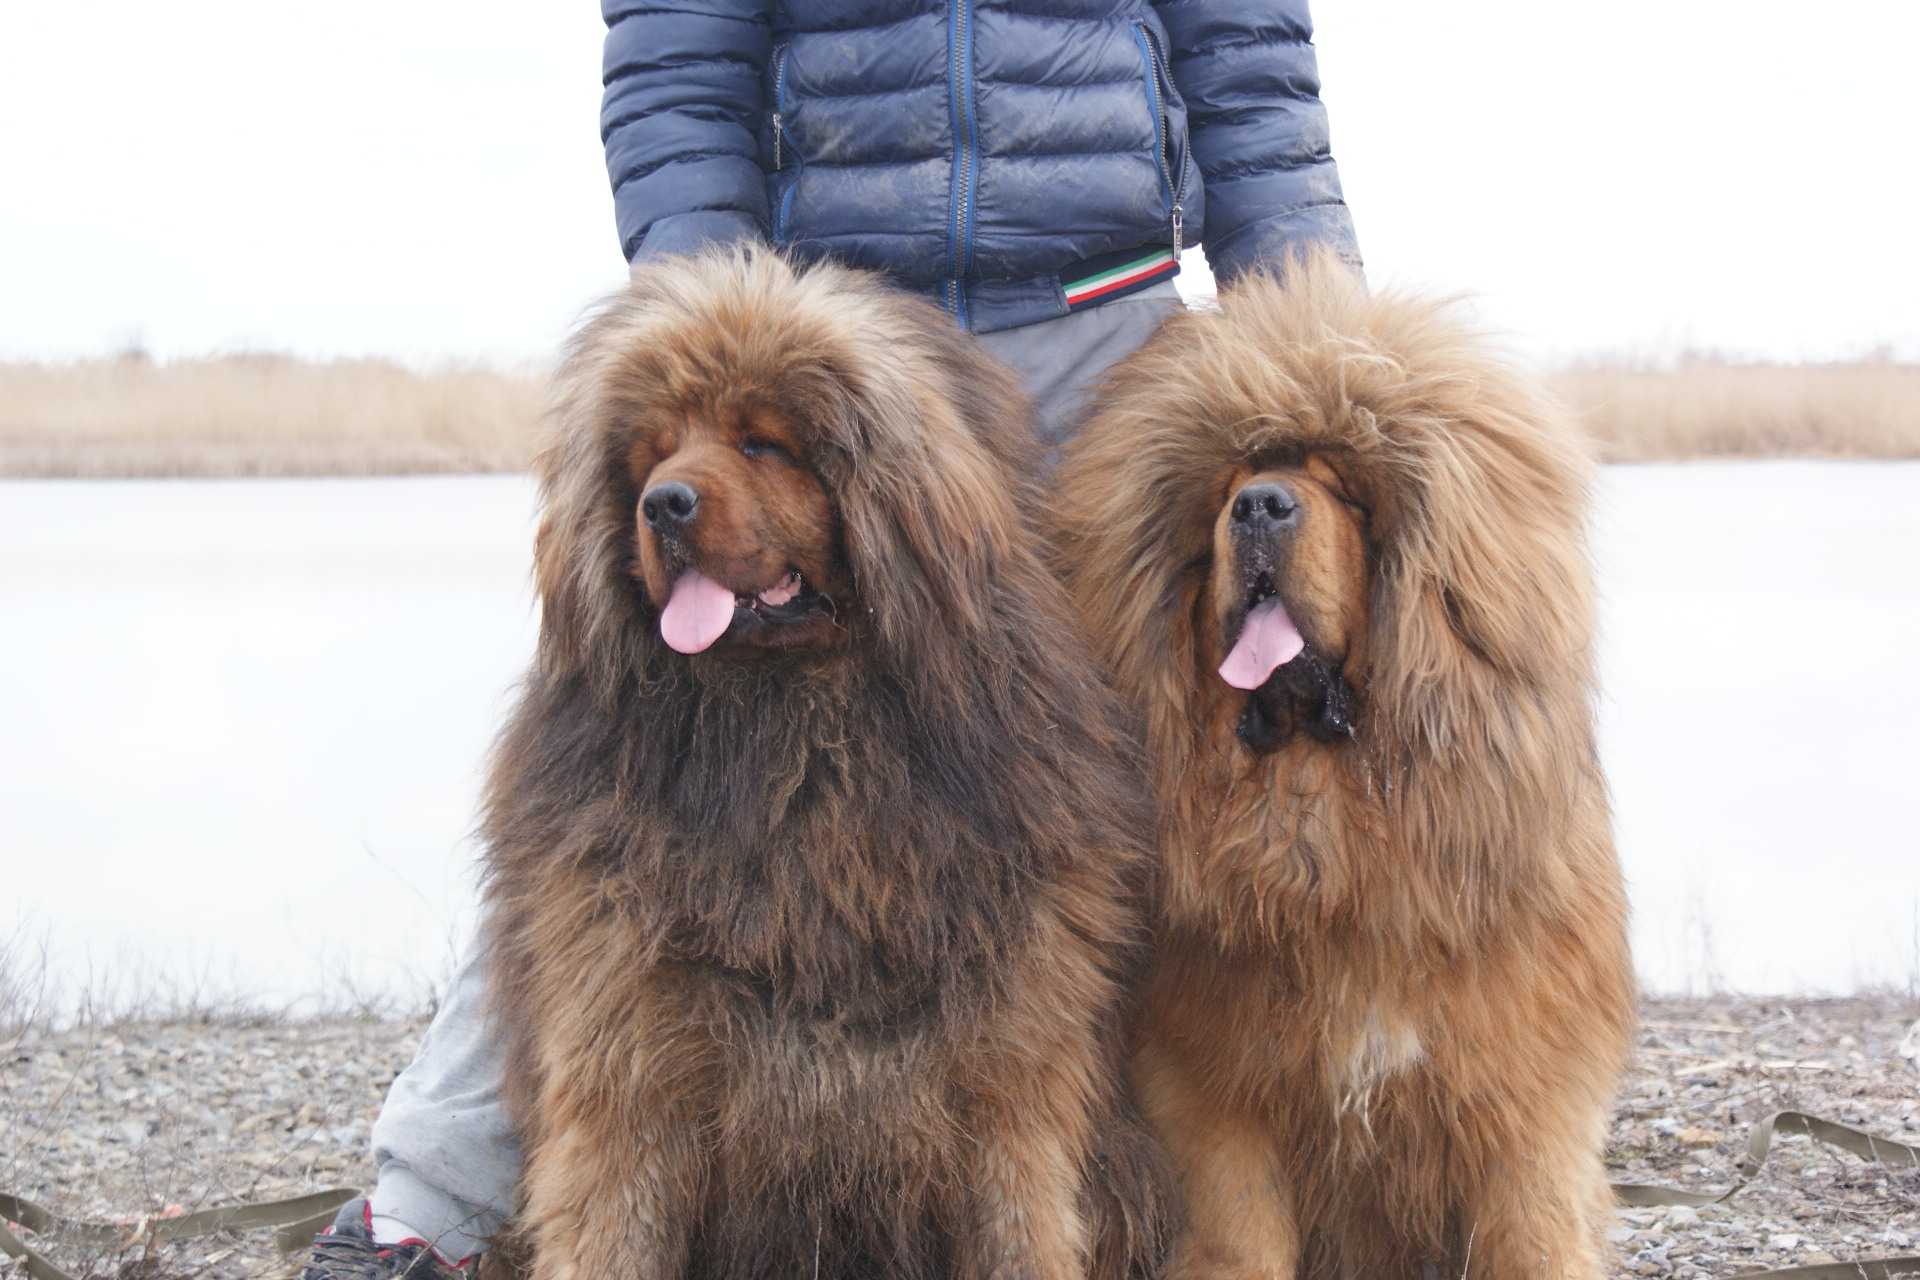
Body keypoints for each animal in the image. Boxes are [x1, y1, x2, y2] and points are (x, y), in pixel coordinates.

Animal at [1053, 251, 1635, 1279]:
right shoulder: (1214, 1086)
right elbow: (1239, 1231)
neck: (1323, 826)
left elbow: (1532, 1228)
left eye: (1348, 494)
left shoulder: (1525, 1084)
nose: (1261, 505)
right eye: (1233, 484)